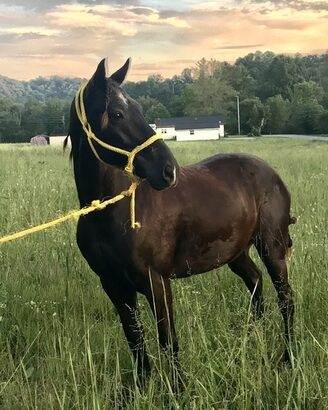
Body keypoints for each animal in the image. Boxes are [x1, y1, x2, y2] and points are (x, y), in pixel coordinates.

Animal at [68, 57, 296, 384]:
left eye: (138, 109)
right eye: (118, 113)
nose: (169, 171)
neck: (112, 213)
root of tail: (272, 173)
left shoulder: (156, 283)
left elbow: (168, 340)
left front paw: (178, 388)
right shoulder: (114, 285)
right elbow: (135, 339)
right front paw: (141, 387)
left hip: (272, 246)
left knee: (285, 299)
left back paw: (288, 358)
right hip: (236, 252)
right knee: (255, 283)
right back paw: (254, 342)